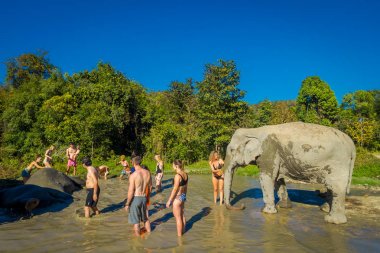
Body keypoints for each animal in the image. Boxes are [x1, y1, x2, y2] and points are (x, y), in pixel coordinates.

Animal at [223, 122, 356, 223]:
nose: (242, 206)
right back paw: (324, 209)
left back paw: (332, 220)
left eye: (232, 150)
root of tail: (352, 144)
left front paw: (266, 212)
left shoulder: (268, 151)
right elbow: (277, 179)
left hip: (338, 162)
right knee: (331, 187)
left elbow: (266, 178)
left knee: (336, 187)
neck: (254, 130)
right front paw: (284, 207)